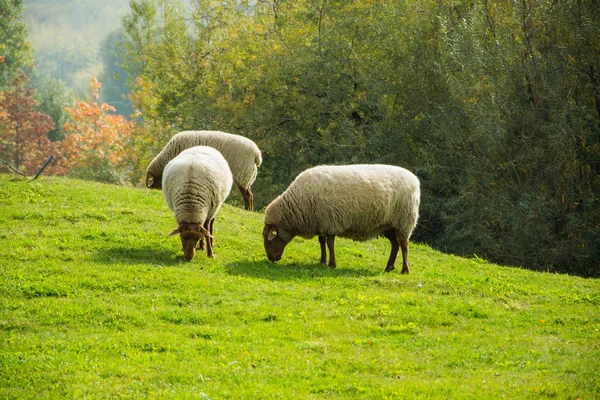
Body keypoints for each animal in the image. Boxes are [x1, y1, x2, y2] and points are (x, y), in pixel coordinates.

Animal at [262, 164, 422, 274]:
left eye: (269, 239)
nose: (271, 258)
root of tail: (414, 179)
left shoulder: (330, 222)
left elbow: (330, 243)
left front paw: (332, 264)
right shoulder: (322, 222)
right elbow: (322, 242)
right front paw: (322, 261)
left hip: (404, 220)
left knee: (404, 245)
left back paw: (405, 270)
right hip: (388, 225)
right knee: (395, 244)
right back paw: (389, 267)